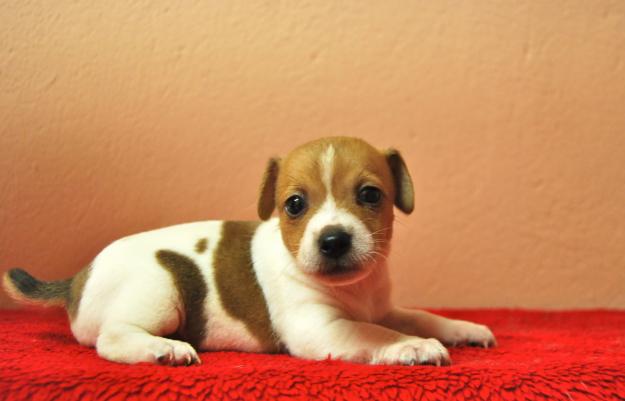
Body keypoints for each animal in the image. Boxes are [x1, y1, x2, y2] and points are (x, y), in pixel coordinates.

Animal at [2, 137, 494, 366]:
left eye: (370, 195)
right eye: (294, 205)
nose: (333, 240)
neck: (356, 290)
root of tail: (77, 278)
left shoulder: (383, 307)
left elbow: (417, 316)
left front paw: (461, 327)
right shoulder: (321, 328)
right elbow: (375, 334)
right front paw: (411, 347)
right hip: (158, 289)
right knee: (113, 337)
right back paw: (164, 349)